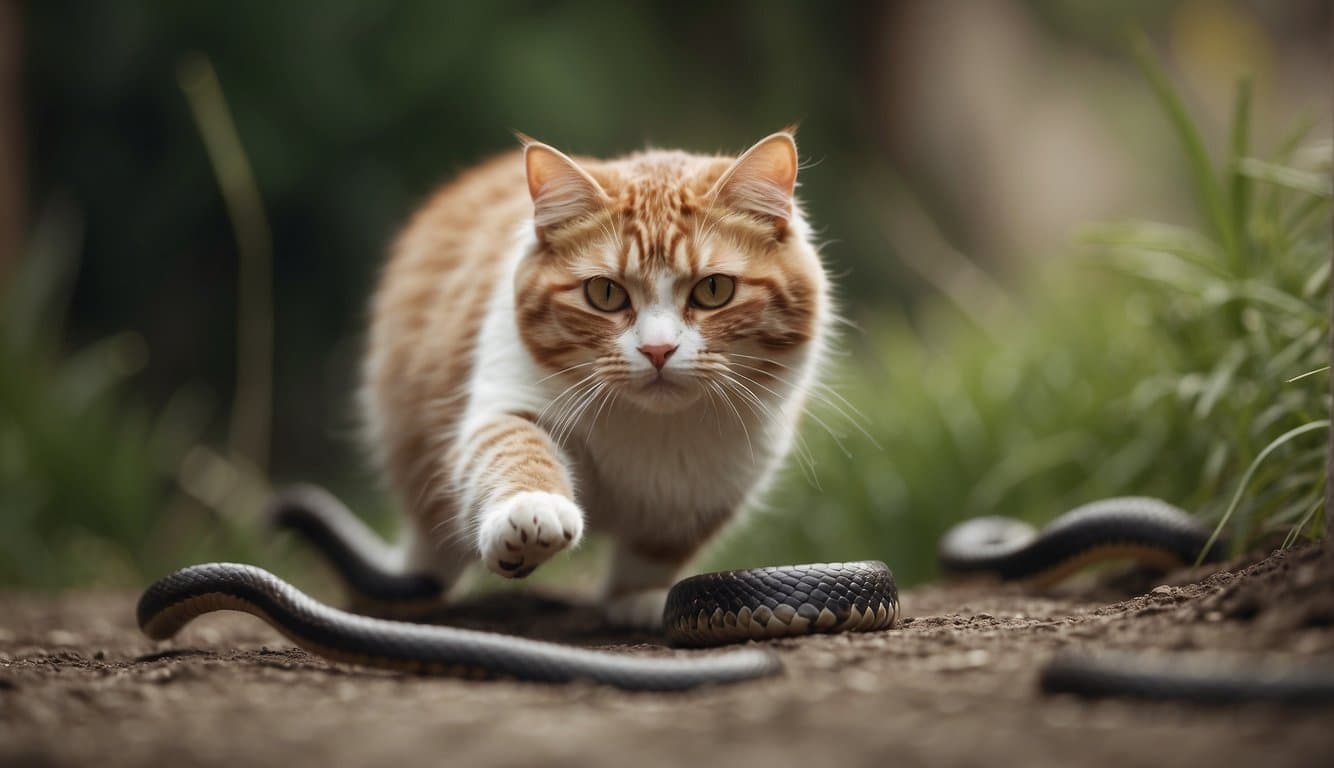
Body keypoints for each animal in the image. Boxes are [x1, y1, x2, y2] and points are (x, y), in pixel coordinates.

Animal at [360, 130, 827, 624]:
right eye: (605, 293)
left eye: (714, 289)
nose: (658, 350)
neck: (652, 427)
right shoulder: (507, 400)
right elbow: (513, 448)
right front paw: (533, 510)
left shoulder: (716, 486)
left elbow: (656, 550)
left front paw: (642, 598)